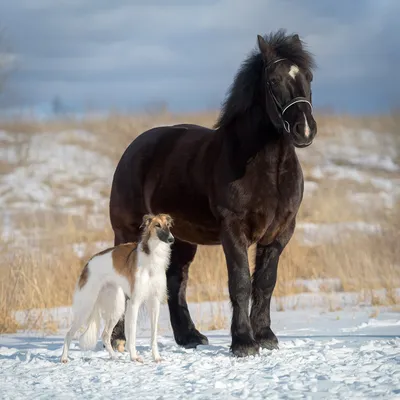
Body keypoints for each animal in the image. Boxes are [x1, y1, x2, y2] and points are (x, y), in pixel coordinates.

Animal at [60, 214, 173, 364]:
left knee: (105, 335)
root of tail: (88, 264)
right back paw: (64, 358)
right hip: (87, 306)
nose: (171, 239)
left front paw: (157, 357)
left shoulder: (154, 302)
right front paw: (134, 357)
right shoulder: (134, 302)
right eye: (157, 225)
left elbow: (153, 335)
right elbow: (132, 334)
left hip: (117, 307)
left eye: (168, 225)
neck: (151, 256)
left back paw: (113, 356)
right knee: (68, 333)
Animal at [108, 29, 316, 358]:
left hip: (181, 240)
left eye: (308, 76)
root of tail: (133, 148)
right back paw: (118, 339)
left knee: (176, 281)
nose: (304, 130)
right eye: (273, 81)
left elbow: (265, 282)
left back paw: (190, 336)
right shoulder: (233, 229)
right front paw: (244, 343)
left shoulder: (280, 232)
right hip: (126, 230)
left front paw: (265, 336)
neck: (264, 168)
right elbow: (240, 282)